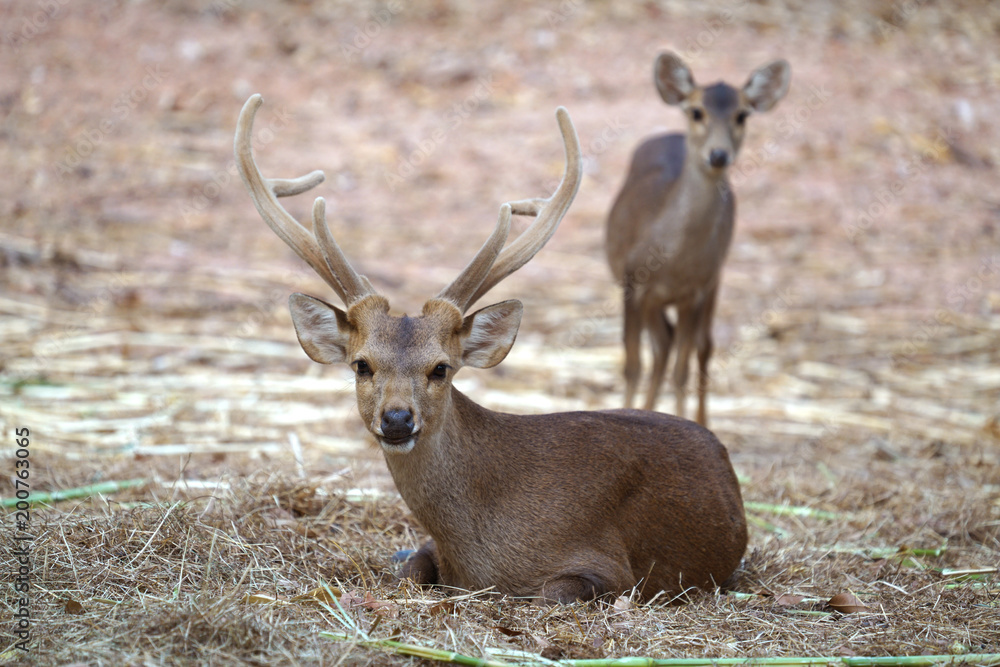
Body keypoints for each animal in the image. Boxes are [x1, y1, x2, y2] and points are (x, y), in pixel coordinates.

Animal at [234, 92, 748, 604]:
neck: (478, 548)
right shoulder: (430, 549)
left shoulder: (610, 567)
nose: (397, 419)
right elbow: (408, 569)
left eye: (441, 368)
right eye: (362, 365)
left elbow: (548, 592)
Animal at [604, 52, 792, 428]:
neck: (673, 260)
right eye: (696, 111)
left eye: (742, 114)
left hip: (715, 279)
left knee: (699, 347)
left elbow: (682, 369)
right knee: (664, 344)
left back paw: (698, 420)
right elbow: (632, 365)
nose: (718, 155)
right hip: (655, 298)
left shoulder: (696, 291)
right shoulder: (632, 281)